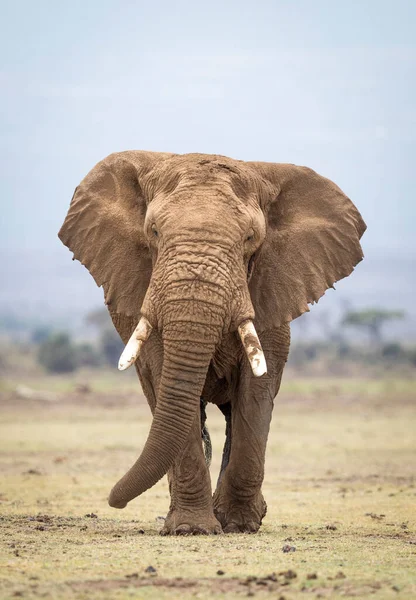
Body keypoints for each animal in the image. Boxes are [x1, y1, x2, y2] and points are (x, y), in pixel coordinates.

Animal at [57, 150, 364, 536]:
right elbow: (167, 382)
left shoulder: (269, 290)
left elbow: (256, 393)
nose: (114, 500)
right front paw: (191, 529)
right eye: (153, 231)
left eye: (250, 237)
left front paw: (239, 524)